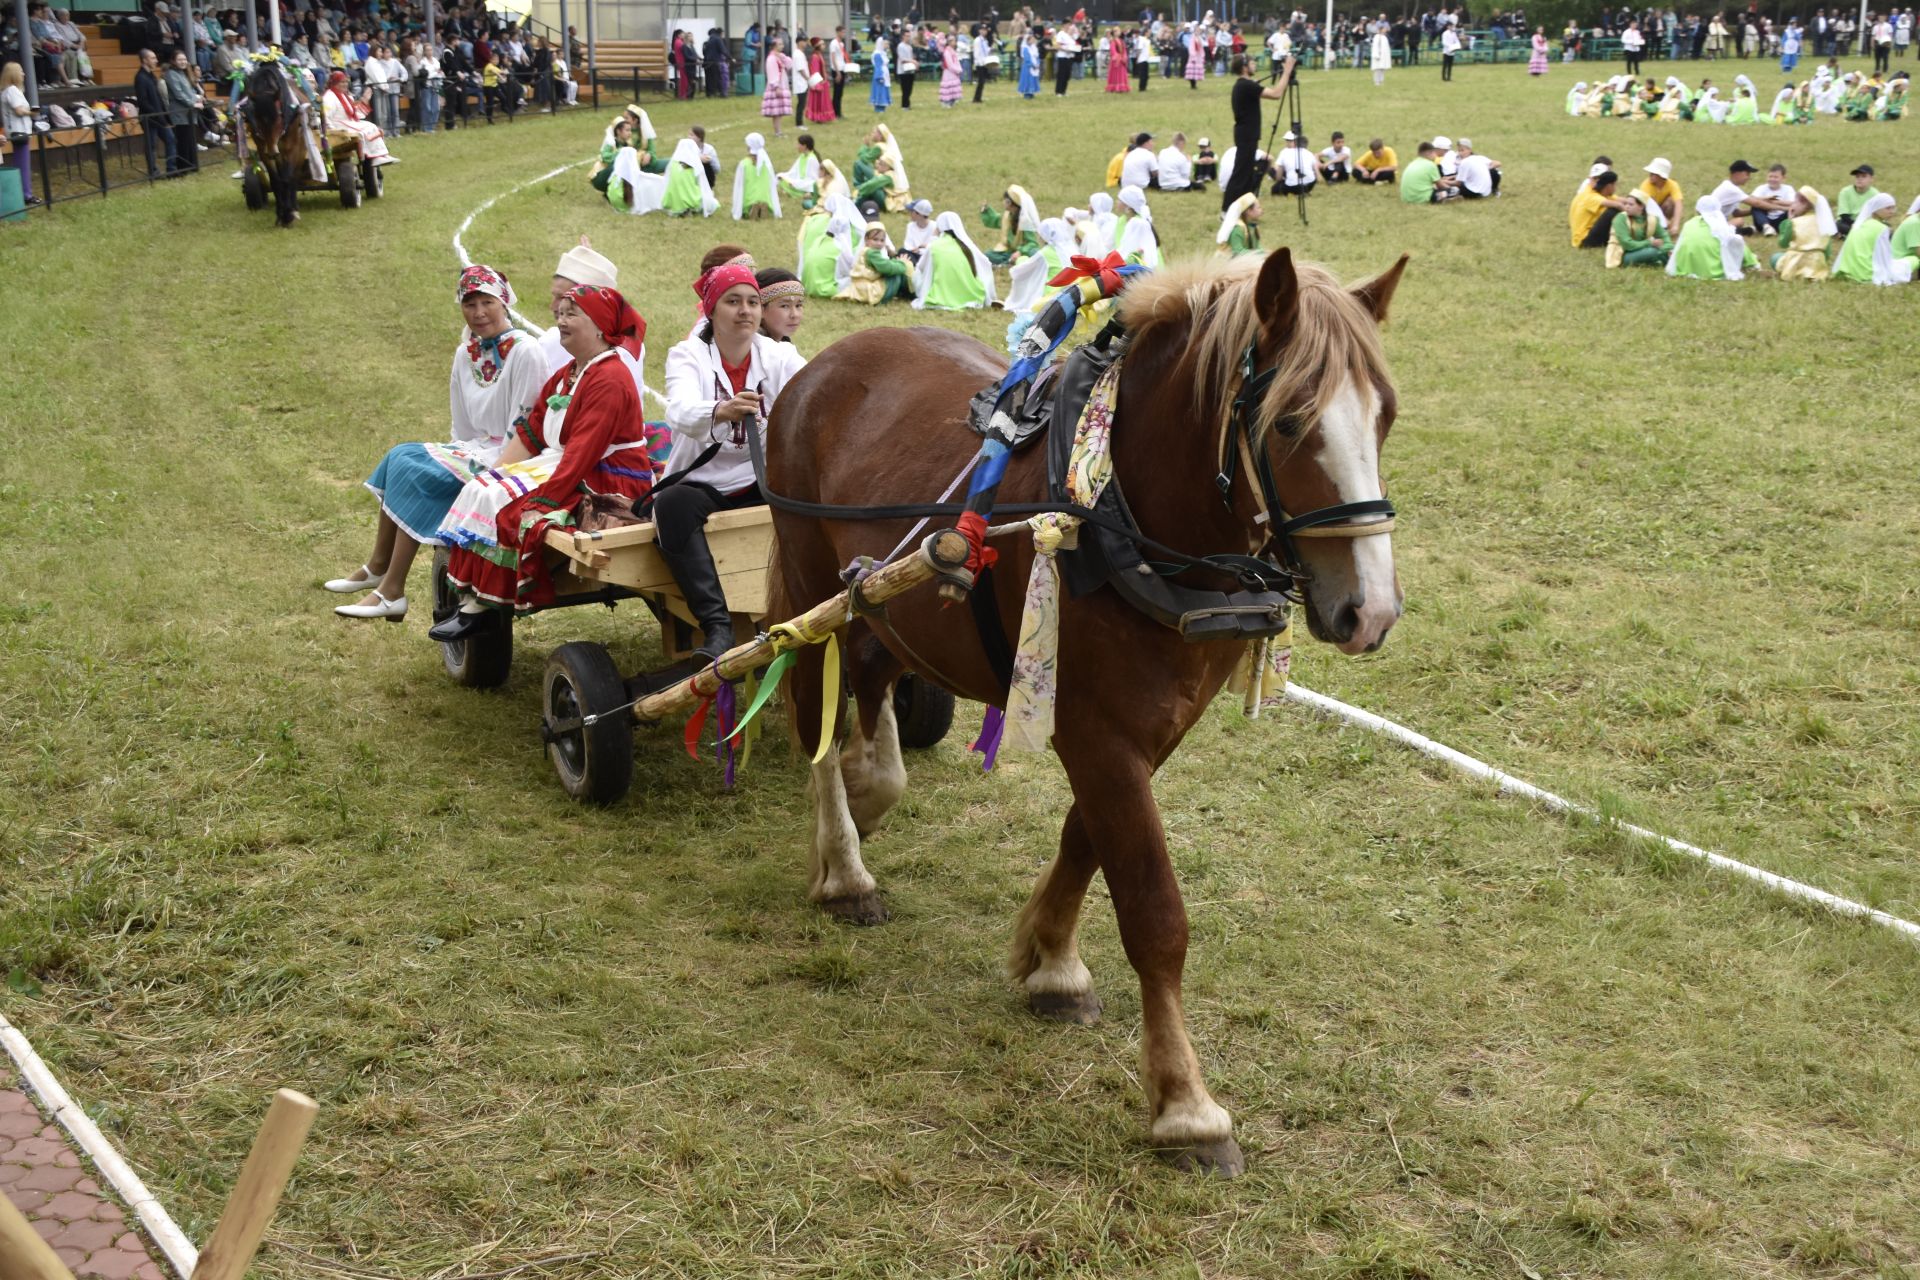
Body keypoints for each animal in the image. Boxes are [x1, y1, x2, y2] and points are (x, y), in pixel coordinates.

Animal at [764, 245, 1413, 1174]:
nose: (1371, 612)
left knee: (875, 677)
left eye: (1385, 416)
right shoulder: (1099, 733)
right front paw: (1185, 1103)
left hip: (888, 593)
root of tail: (819, 366)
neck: (1122, 512)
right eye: (1290, 423)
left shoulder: (1149, 727)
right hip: (809, 575)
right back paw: (844, 865)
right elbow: (1153, 910)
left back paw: (868, 787)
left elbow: (1086, 841)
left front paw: (1052, 961)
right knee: (814, 714)